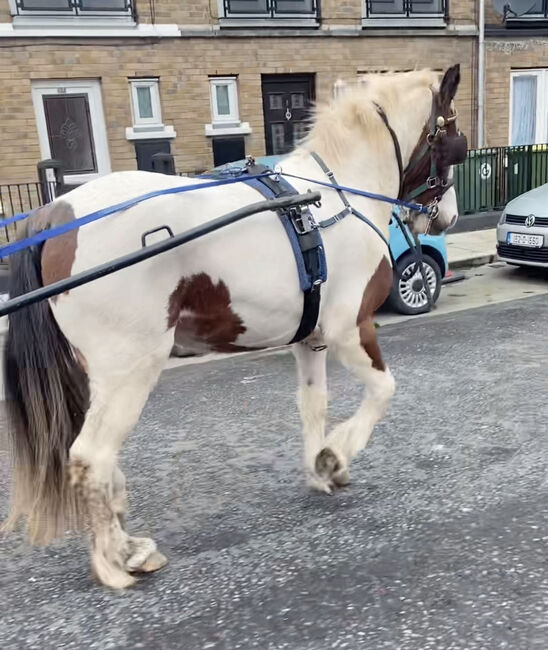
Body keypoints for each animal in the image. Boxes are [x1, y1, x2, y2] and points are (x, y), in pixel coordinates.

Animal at [3, 65, 465, 590]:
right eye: (456, 139)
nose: (448, 217)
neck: (337, 194)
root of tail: (55, 215)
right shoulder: (350, 330)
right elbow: (384, 390)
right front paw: (336, 455)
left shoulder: (312, 339)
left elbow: (314, 404)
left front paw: (320, 467)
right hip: (130, 368)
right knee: (91, 457)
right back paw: (115, 561)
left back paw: (127, 544)